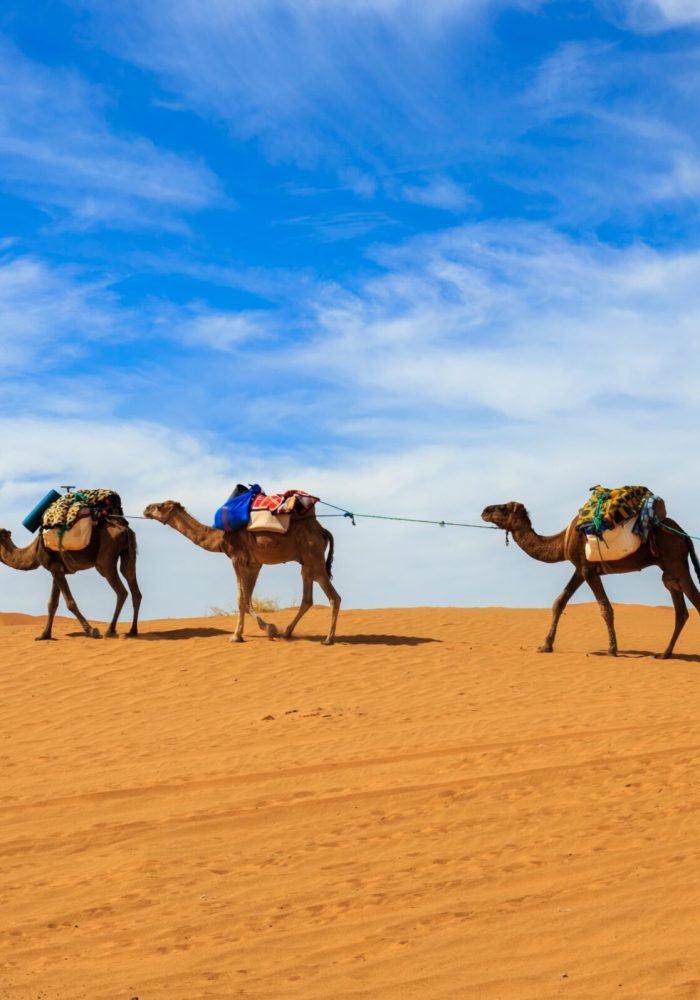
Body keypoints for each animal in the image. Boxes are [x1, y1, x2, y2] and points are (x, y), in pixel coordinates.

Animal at [0, 516, 142, 640]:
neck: (34, 551)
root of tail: (124, 529)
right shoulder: (57, 570)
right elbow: (52, 604)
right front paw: (44, 635)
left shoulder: (55, 568)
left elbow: (70, 602)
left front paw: (92, 631)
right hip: (128, 553)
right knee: (133, 585)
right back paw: (132, 630)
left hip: (106, 558)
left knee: (121, 591)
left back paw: (110, 630)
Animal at [142, 500, 340, 648]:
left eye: (159, 506)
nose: (146, 509)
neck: (220, 537)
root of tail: (322, 531)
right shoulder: (254, 564)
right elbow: (247, 599)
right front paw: (270, 629)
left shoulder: (237, 558)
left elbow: (241, 598)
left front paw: (236, 636)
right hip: (306, 562)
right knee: (307, 598)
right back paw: (287, 632)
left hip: (314, 557)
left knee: (334, 597)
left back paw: (328, 639)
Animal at [482, 498, 700, 656]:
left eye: (502, 507)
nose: (484, 511)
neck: (563, 542)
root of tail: (684, 535)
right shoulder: (580, 569)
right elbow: (559, 602)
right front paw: (545, 646)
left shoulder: (588, 569)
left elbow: (605, 608)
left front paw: (612, 649)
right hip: (669, 570)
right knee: (681, 610)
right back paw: (665, 654)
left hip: (675, 560)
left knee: (694, 600)